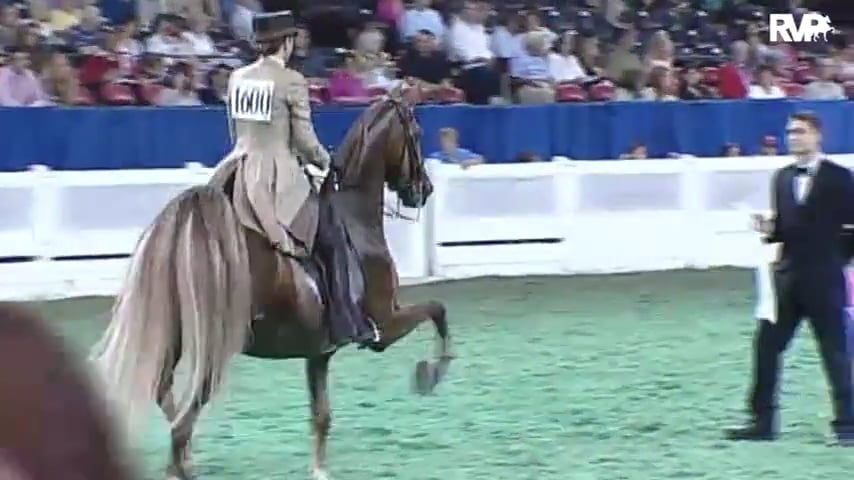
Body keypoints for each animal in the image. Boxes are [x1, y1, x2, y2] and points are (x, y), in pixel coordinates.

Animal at [91, 88, 453, 480]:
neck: (355, 220)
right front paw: (431, 373)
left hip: (175, 336)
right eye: (416, 133)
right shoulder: (384, 326)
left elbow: (321, 416)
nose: (424, 189)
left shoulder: (319, 352)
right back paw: (185, 461)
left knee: (167, 398)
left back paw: (188, 458)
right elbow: (437, 309)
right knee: (182, 422)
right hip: (214, 349)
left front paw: (319, 470)